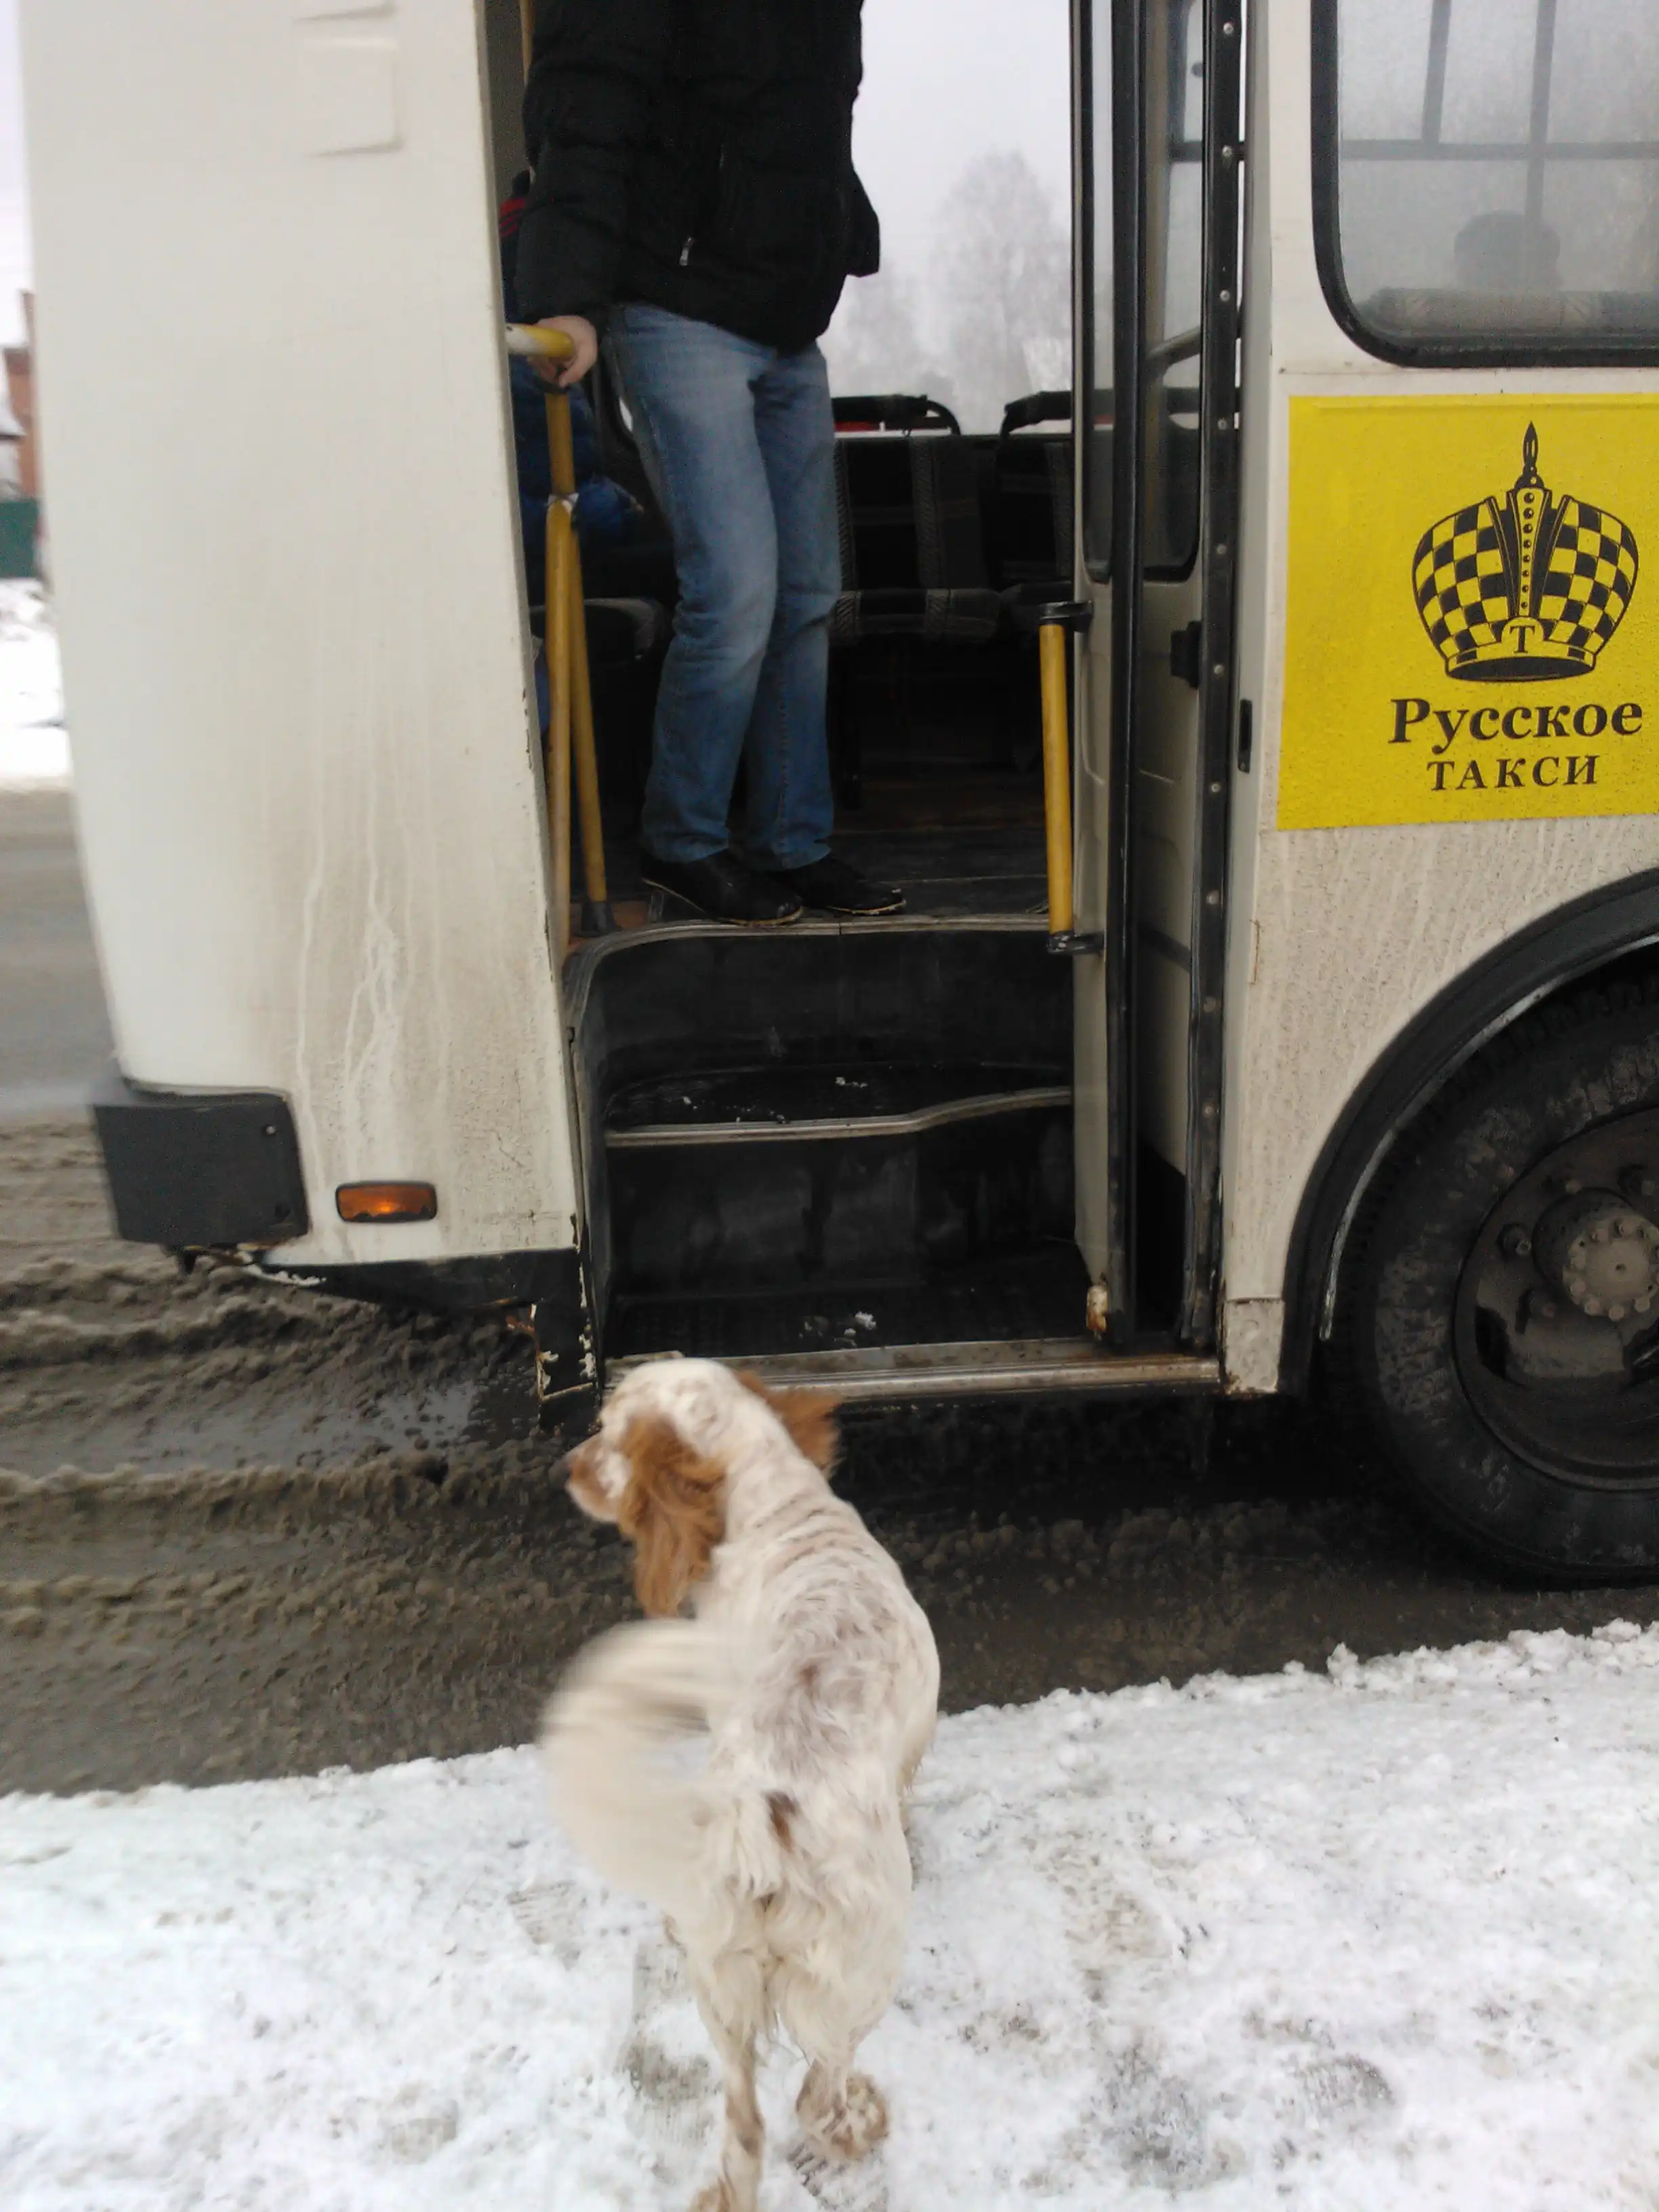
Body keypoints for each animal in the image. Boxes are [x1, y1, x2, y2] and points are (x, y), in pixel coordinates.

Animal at [544, 1358, 940, 2212]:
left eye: (610, 1435)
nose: (564, 1467)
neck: (777, 1515)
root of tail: (759, 1822)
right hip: (857, 1976)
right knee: (816, 2097)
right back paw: (860, 2125)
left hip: (720, 1994)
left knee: (746, 2129)